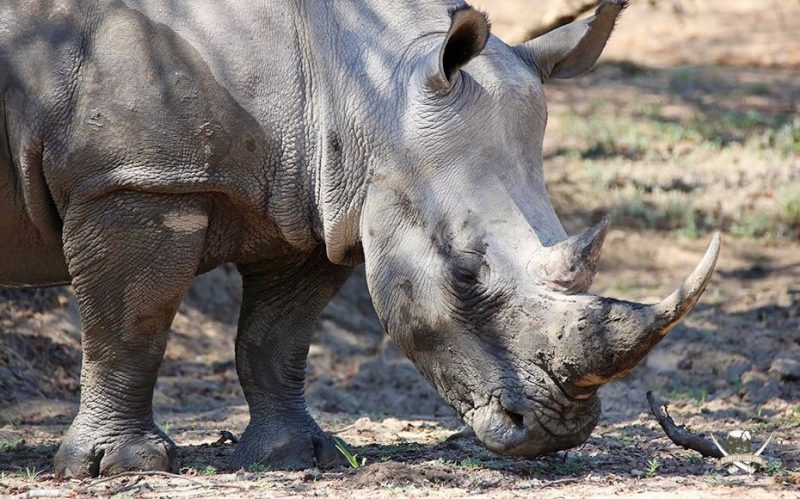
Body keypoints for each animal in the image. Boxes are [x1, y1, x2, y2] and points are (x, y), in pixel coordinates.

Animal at [0, 0, 719, 477]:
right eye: (465, 274)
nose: (556, 432)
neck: (367, 84)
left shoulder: (320, 198)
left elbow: (277, 336)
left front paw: (297, 455)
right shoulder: (136, 179)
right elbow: (132, 324)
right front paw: (120, 466)